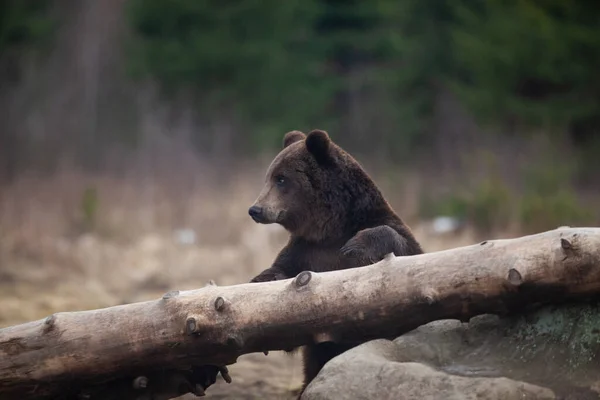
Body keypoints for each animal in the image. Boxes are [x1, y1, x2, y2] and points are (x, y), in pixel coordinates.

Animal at [246, 129, 424, 396]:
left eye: (281, 179)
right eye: (269, 176)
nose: (255, 209)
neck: (328, 228)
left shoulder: (379, 224)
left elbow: (404, 250)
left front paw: (355, 247)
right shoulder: (304, 251)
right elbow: (281, 276)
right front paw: (260, 282)